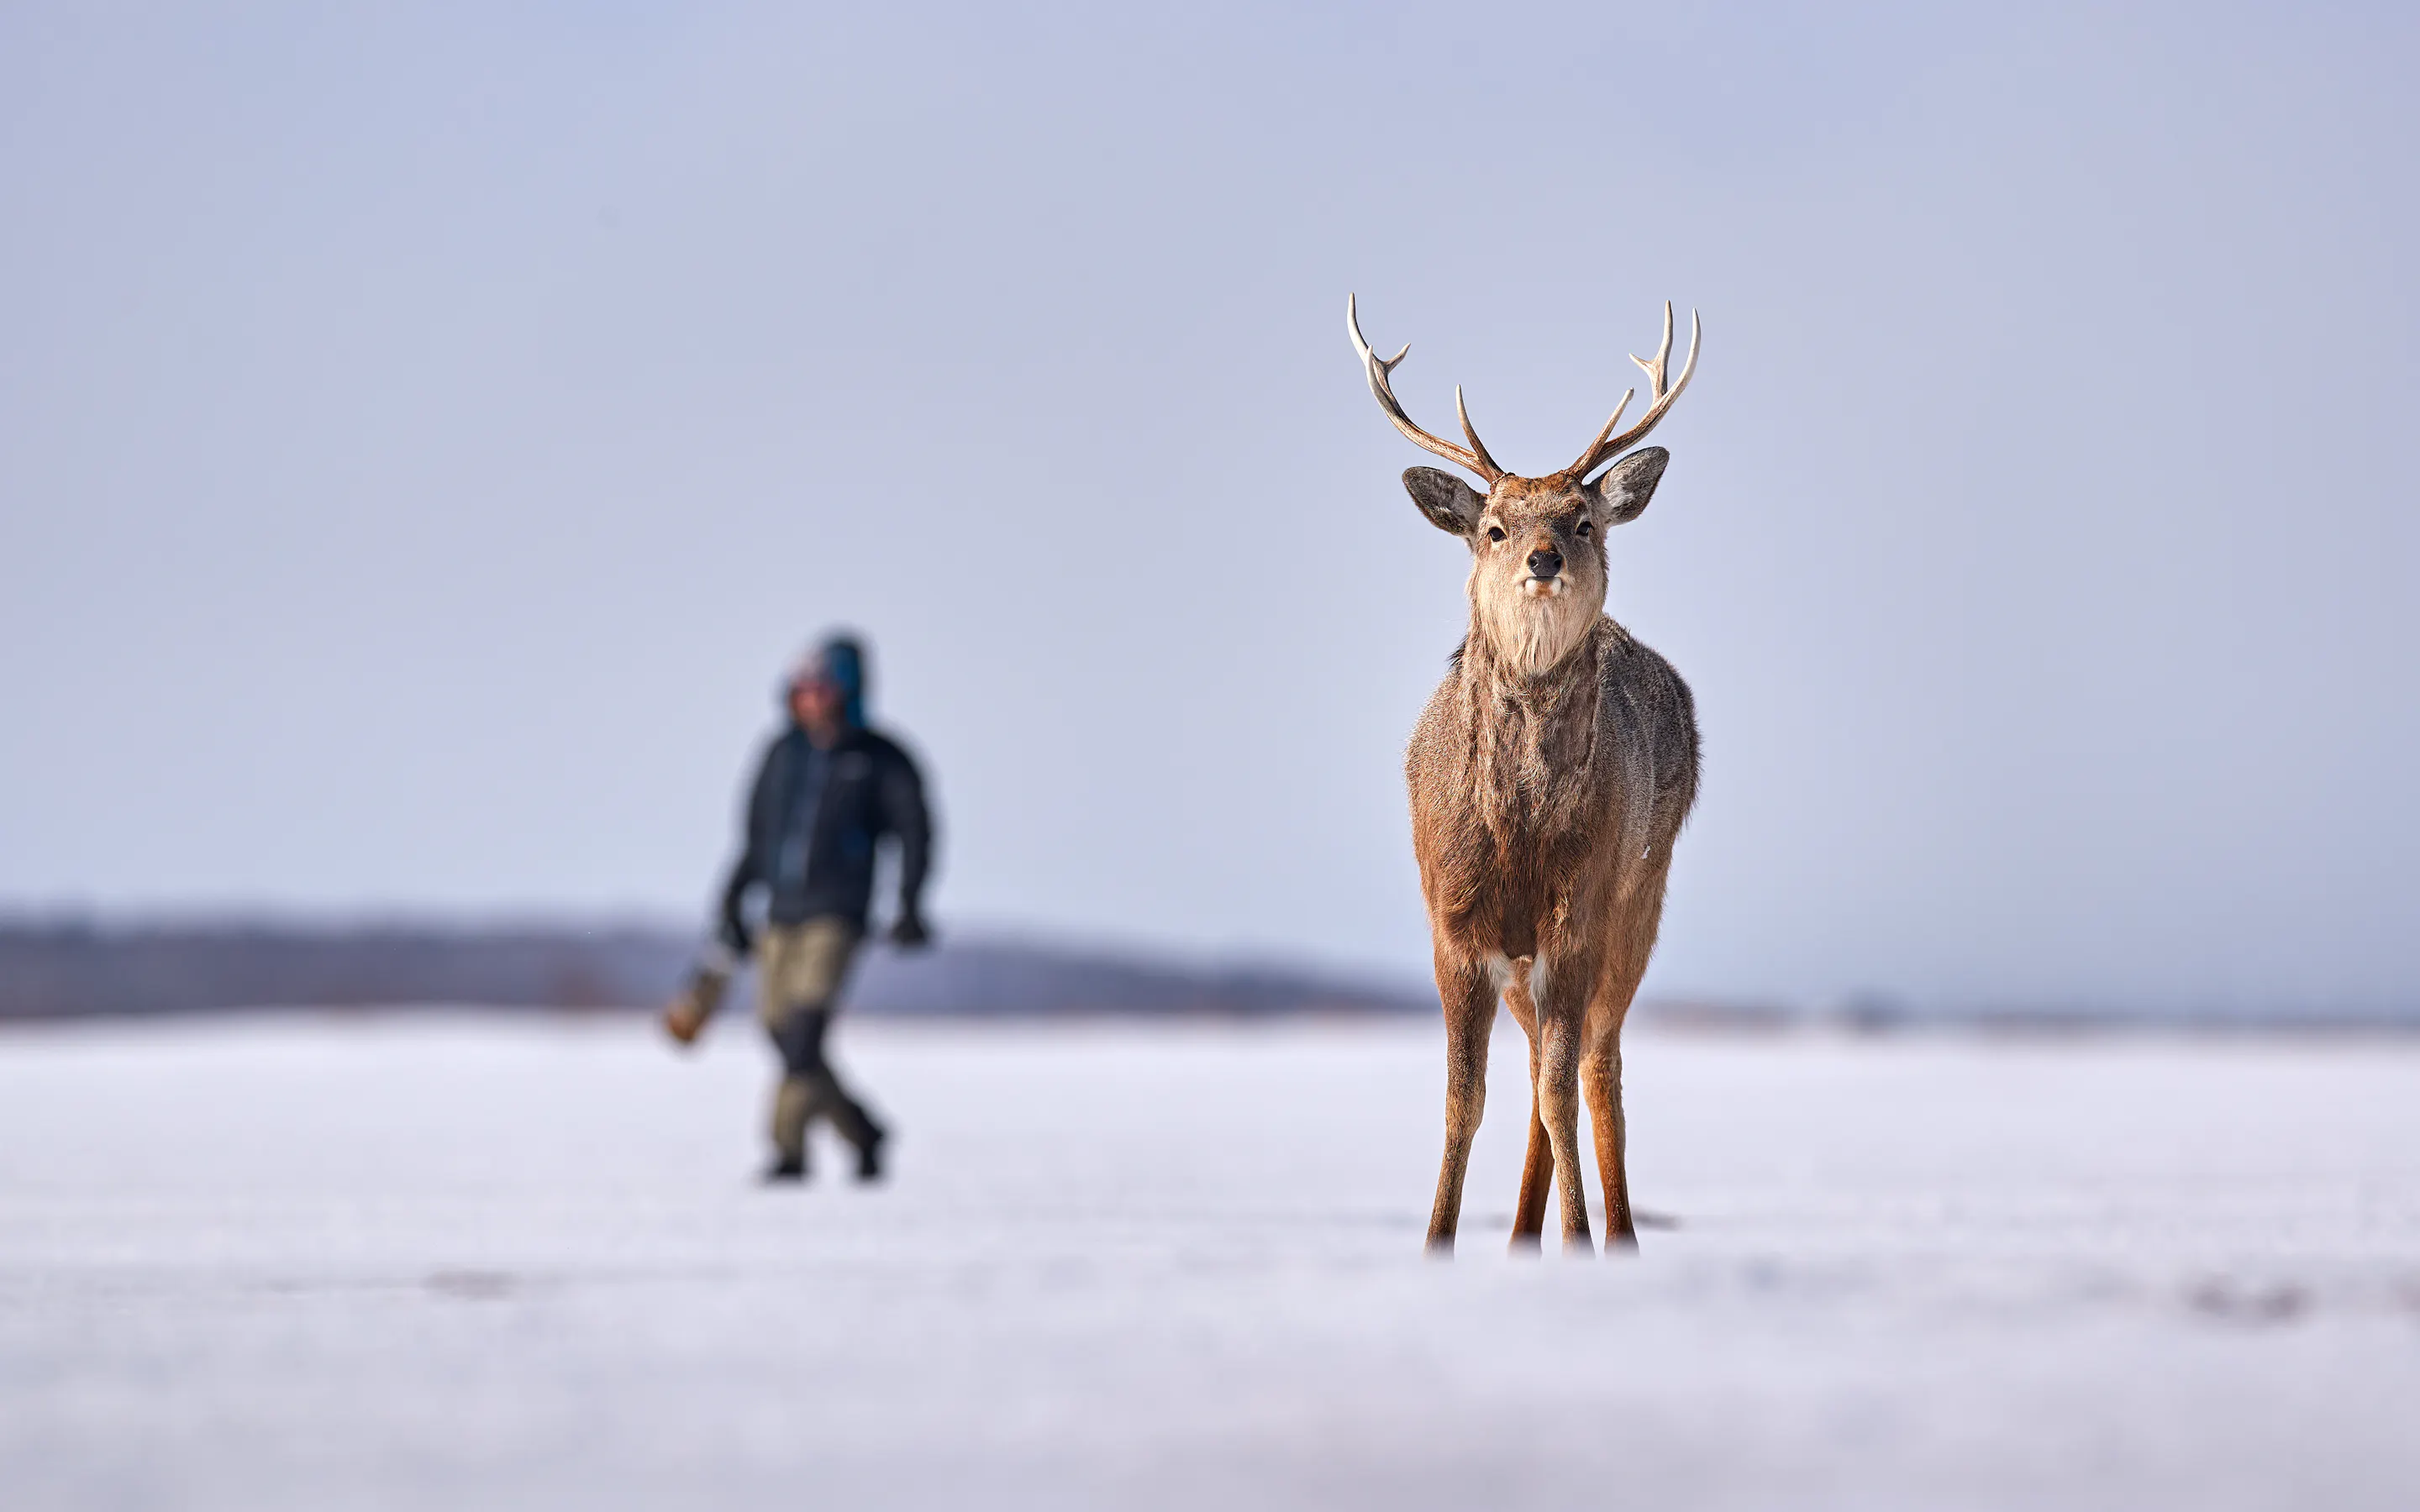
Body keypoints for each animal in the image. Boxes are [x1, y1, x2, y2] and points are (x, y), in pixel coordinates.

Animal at [1348, 295, 1702, 1255]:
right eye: (1493, 528)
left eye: (1583, 520)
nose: (1543, 558)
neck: (1519, 833)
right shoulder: (1456, 924)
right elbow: (1462, 1099)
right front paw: (1438, 1241)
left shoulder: (1577, 916)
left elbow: (1557, 1091)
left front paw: (1580, 1237)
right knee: (1554, 1063)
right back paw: (1518, 1234)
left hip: (1640, 899)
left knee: (1595, 1065)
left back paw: (1615, 1234)